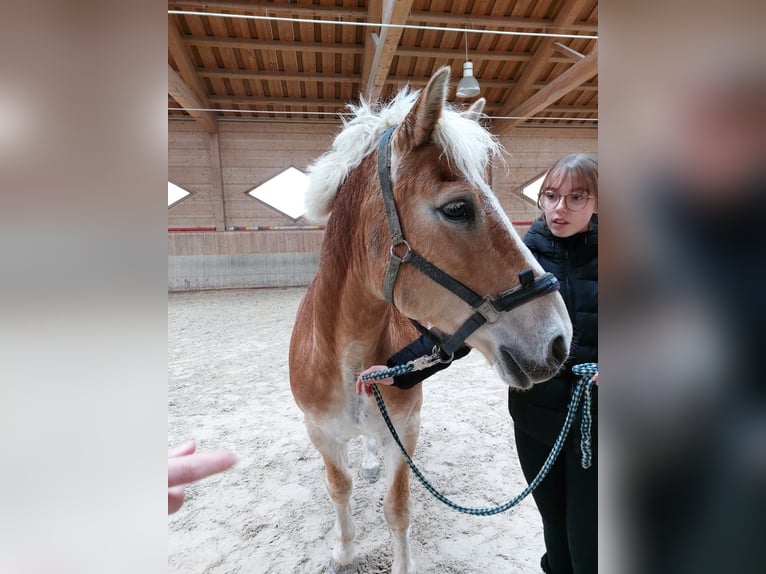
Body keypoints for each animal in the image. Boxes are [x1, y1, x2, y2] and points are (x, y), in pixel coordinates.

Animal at [292, 65, 572, 572]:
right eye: (457, 208)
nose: (559, 342)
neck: (346, 358)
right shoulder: (321, 435)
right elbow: (338, 489)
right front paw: (344, 551)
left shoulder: (405, 432)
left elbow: (398, 509)